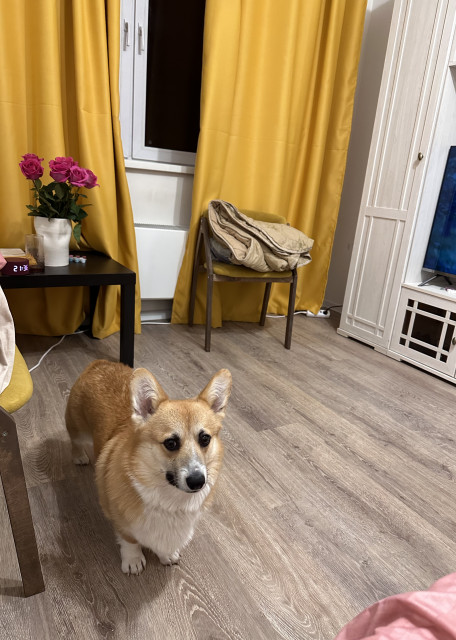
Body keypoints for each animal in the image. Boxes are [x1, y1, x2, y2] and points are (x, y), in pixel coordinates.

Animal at [65, 359, 232, 574]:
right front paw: (133, 560)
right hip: (77, 427)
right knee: (75, 441)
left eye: (205, 439)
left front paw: (167, 554)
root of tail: (100, 363)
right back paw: (79, 456)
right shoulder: (121, 522)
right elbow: (130, 541)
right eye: (171, 443)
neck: (169, 498)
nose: (197, 481)